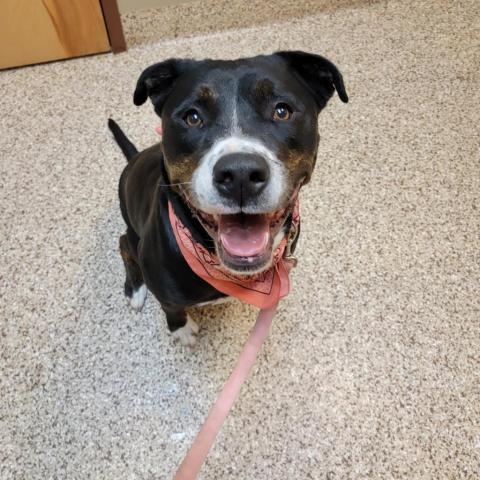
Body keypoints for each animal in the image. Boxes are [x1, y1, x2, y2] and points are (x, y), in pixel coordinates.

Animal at [109, 50, 348, 344]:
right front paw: (181, 329)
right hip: (134, 232)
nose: (240, 174)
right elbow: (171, 308)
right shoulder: (165, 291)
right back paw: (136, 287)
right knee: (123, 242)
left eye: (282, 111)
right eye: (192, 117)